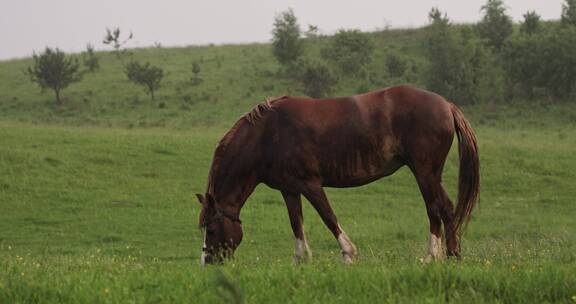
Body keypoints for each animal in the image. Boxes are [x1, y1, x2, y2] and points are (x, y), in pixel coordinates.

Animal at [196, 85, 480, 264]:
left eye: (212, 229)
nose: (207, 261)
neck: (267, 135)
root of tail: (446, 105)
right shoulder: (289, 189)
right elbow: (296, 223)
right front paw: (300, 260)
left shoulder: (310, 184)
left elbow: (328, 217)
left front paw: (349, 253)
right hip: (430, 174)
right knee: (444, 208)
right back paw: (448, 255)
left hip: (424, 172)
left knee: (435, 208)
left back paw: (435, 256)